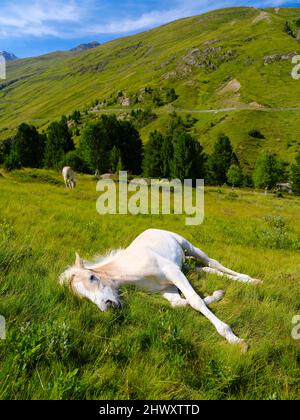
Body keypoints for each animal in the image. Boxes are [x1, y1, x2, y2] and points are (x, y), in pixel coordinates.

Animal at [59, 228, 262, 350]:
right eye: (83, 297)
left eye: (92, 277)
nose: (108, 305)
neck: (131, 267)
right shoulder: (167, 289)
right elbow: (181, 304)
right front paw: (218, 294)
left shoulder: (173, 273)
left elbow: (195, 300)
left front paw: (235, 340)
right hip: (185, 266)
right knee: (205, 269)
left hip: (188, 247)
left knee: (213, 263)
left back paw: (251, 280)